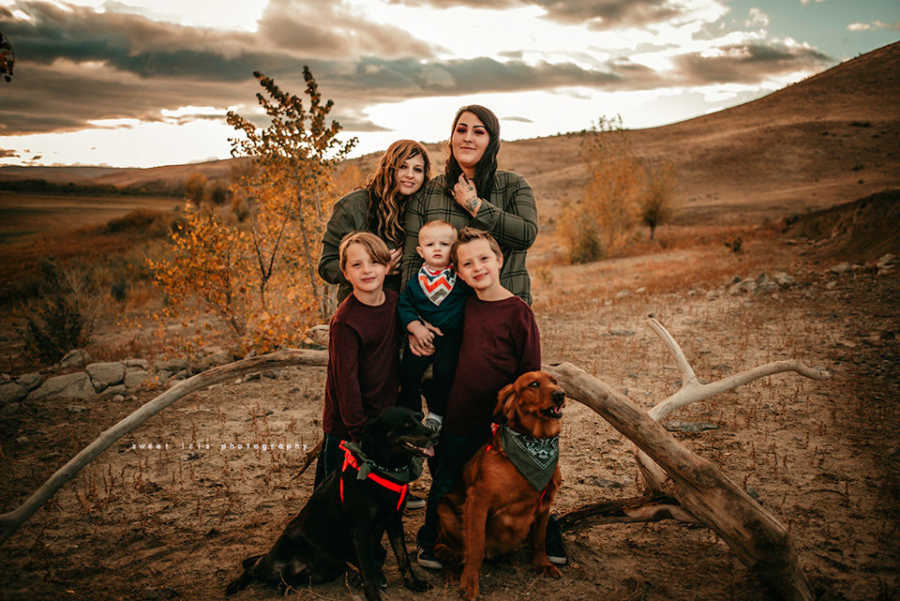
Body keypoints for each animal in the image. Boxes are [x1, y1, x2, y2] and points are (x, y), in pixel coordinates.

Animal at [225, 406, 436, 596]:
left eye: (420, 418)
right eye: (406, 424)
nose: (434, 434)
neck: (383, 469)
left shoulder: (394, 521)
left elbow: (403, 558)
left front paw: (413, 584)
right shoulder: (360, 532)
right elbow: (369, 574)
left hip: (323, 571)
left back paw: (283, 587)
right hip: (277, 562)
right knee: (253, 566)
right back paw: (236, 584)